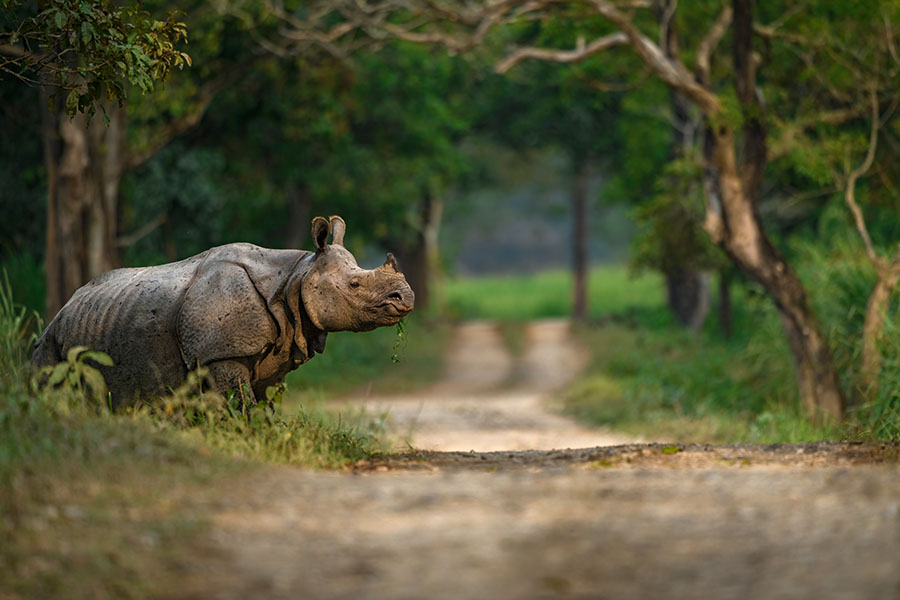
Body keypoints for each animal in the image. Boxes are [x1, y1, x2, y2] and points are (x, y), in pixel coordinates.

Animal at [32, 215, 414, 406]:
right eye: (355, 285)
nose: (406, 298)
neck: (296, 278)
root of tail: (64, 307)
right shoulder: (221, 354)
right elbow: (239, 404)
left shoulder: (276, 351)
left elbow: (263, 406)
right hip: (51, 340)